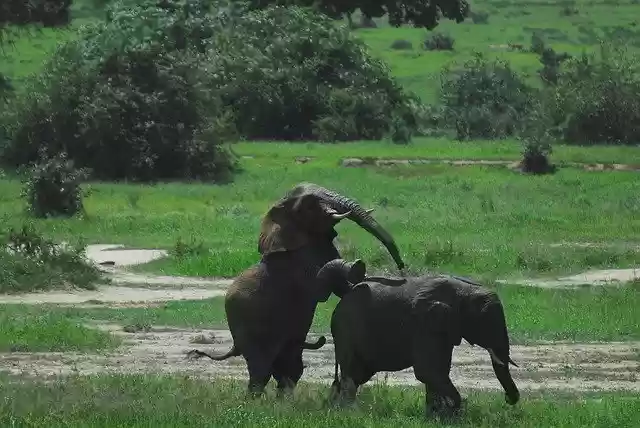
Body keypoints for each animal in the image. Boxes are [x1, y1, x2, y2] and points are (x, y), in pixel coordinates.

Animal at [186, 183, 405, 397]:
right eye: (310, 205)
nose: (402, 267)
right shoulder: (296, 266)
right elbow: (321, 289)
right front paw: (357, 267)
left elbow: (342, 288)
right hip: (249, 328)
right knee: (261, 370)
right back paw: (255, 402)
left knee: (289, 368)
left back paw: (284, 401)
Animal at [315, 259, 520, 416]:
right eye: (485, 325)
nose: (507, 399)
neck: (464, 291)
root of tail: (347, 291)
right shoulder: (424, 324)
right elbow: (427, 371)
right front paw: (453, 410)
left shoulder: (441, 329)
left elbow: (438, 370)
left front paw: (437, 415)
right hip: (346, 327)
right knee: (350, 373)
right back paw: (348, 412)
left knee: (356, 375)